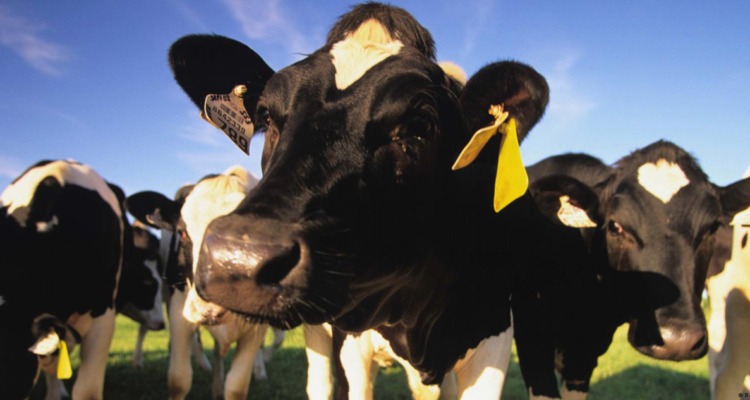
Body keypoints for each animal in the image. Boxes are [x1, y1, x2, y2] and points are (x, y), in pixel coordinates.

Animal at [126, 166, 275, 400]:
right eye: (182, 233)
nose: (209, 309)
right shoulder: (178, 311)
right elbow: (179, 380)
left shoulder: (256, 325)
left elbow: (236, 386)